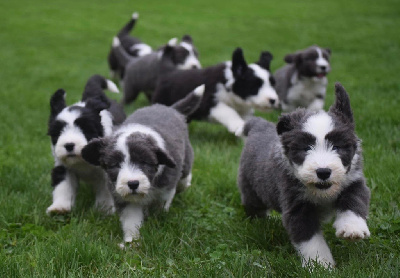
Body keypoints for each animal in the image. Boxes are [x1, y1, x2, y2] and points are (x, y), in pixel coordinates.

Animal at [47, 74, 126, 215]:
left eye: (85, 129)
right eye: (58, 132)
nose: (69, 145)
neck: (82, 160)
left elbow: (106, 189)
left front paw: (105, 209)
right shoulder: (63, 166)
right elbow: (63, 185)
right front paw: (59, 208)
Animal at [82, 84, 206, 243]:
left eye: (144, 162)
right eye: (115, 165)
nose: (133, 183)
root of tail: (169, 108)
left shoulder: (166, 189)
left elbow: (160, 205)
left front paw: (156, 218)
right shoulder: (123, 197)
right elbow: (131, 220)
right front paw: (131, 241)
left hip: (186, 157)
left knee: (185, 175)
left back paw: (184, 184)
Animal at [152, 47, 280, 135]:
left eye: (273, 84)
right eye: (255, 86)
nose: (273, 100)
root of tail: (168, 72)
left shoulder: (245, 110)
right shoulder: (209, 102)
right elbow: (228, 111)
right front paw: (237, 125)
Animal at [238, 83, 372, 270]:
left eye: (337, 146)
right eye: (305, 148)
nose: (323, 172)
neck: (321, 193)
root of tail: (259, 126)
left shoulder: (353, 181)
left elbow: (354, 201)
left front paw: (352, 228)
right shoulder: (297, 206)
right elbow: (310, 239)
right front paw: (321, 264)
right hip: (251, 190)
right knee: (254, 208)